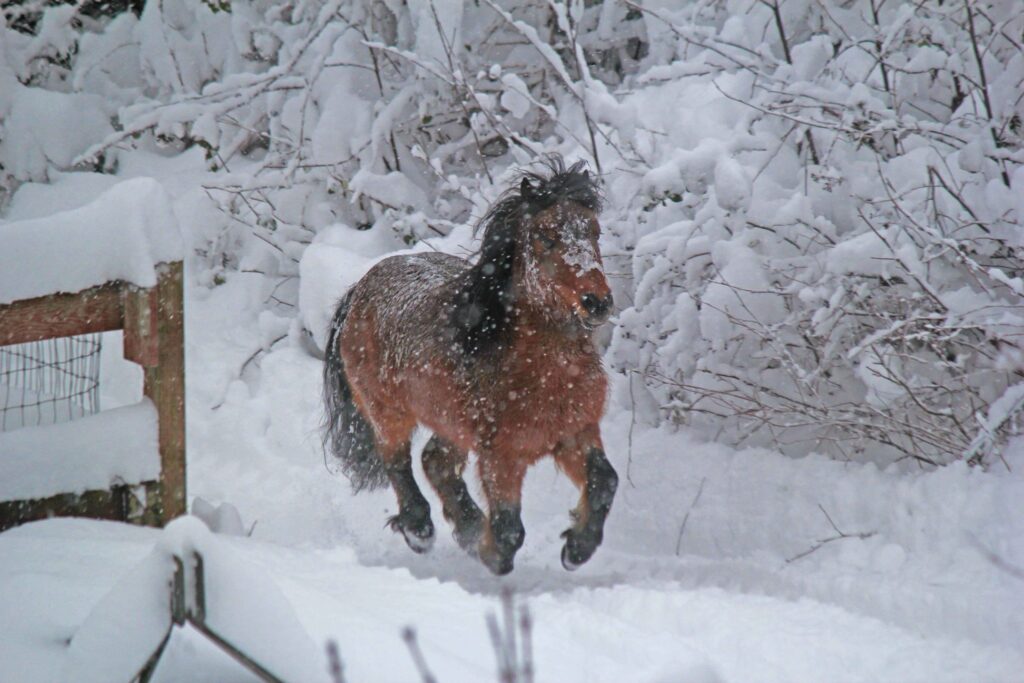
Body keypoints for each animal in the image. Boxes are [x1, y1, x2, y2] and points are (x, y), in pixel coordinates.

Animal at [322, 157, 617, 575]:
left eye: (594, 231)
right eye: (546, 236)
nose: (597, 302)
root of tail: (358, 289)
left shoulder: (575, 432)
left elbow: (605, 480)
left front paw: (576, 547)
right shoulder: (502, 454)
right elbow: (509, 528)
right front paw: (488, 550)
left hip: (450, 422)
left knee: (434, 461)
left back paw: (466, 525)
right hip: (387, 410)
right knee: (396, 460)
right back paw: (421, 530)